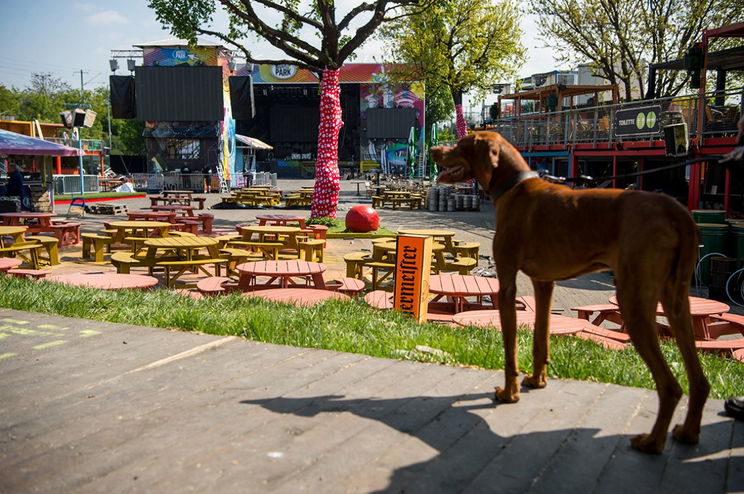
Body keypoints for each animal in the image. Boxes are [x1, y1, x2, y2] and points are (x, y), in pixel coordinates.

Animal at [434, 132, 712, 456]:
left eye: (461, 143)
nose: (434, 149)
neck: (515, 187)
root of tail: (676, 210)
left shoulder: (506, 285)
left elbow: (510, 349)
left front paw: (509, 393)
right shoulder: (544, 283)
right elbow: (540, 338)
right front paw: (537, 380)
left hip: (633, 299)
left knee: (670, 387)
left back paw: (652, 442)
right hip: (677, 301)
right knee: (699, 380)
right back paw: (689, 432)